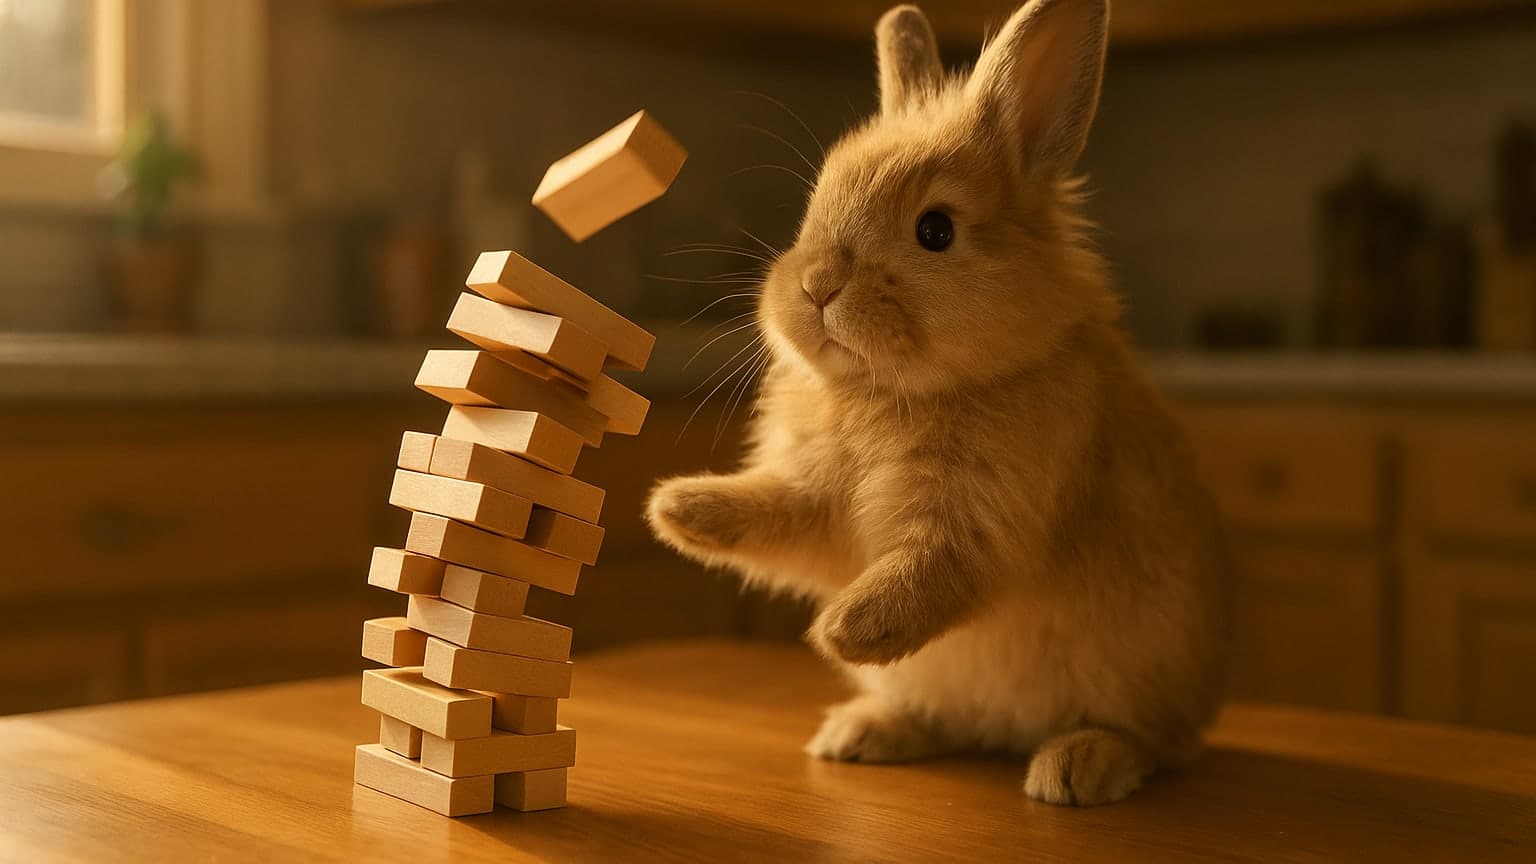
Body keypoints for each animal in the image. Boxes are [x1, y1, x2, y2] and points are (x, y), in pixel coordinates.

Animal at [646, 0, 1230, 806]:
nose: (817, 286)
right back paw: (860, 734)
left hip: (1144, 671)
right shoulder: (816, 507)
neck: (891, 391)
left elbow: (932, 573)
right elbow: (777, 514)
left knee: (1157, 744)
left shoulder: (983, 520)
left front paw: (844, 629)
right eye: (815, 205)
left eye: (935, 230)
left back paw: (1077, 766)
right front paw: (678, 510)